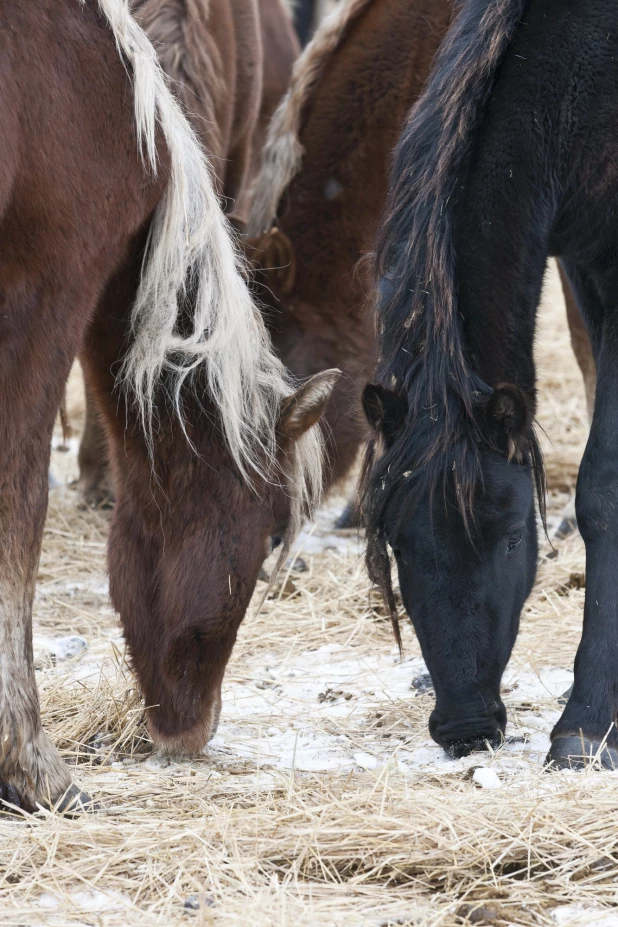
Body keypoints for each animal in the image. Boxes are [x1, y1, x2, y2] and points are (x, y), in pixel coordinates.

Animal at [358, 0, 616, 768]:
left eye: (508, 537)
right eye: (400, 545)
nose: (466, 726)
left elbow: (602, 489)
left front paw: (586, 724)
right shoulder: (589, 270)